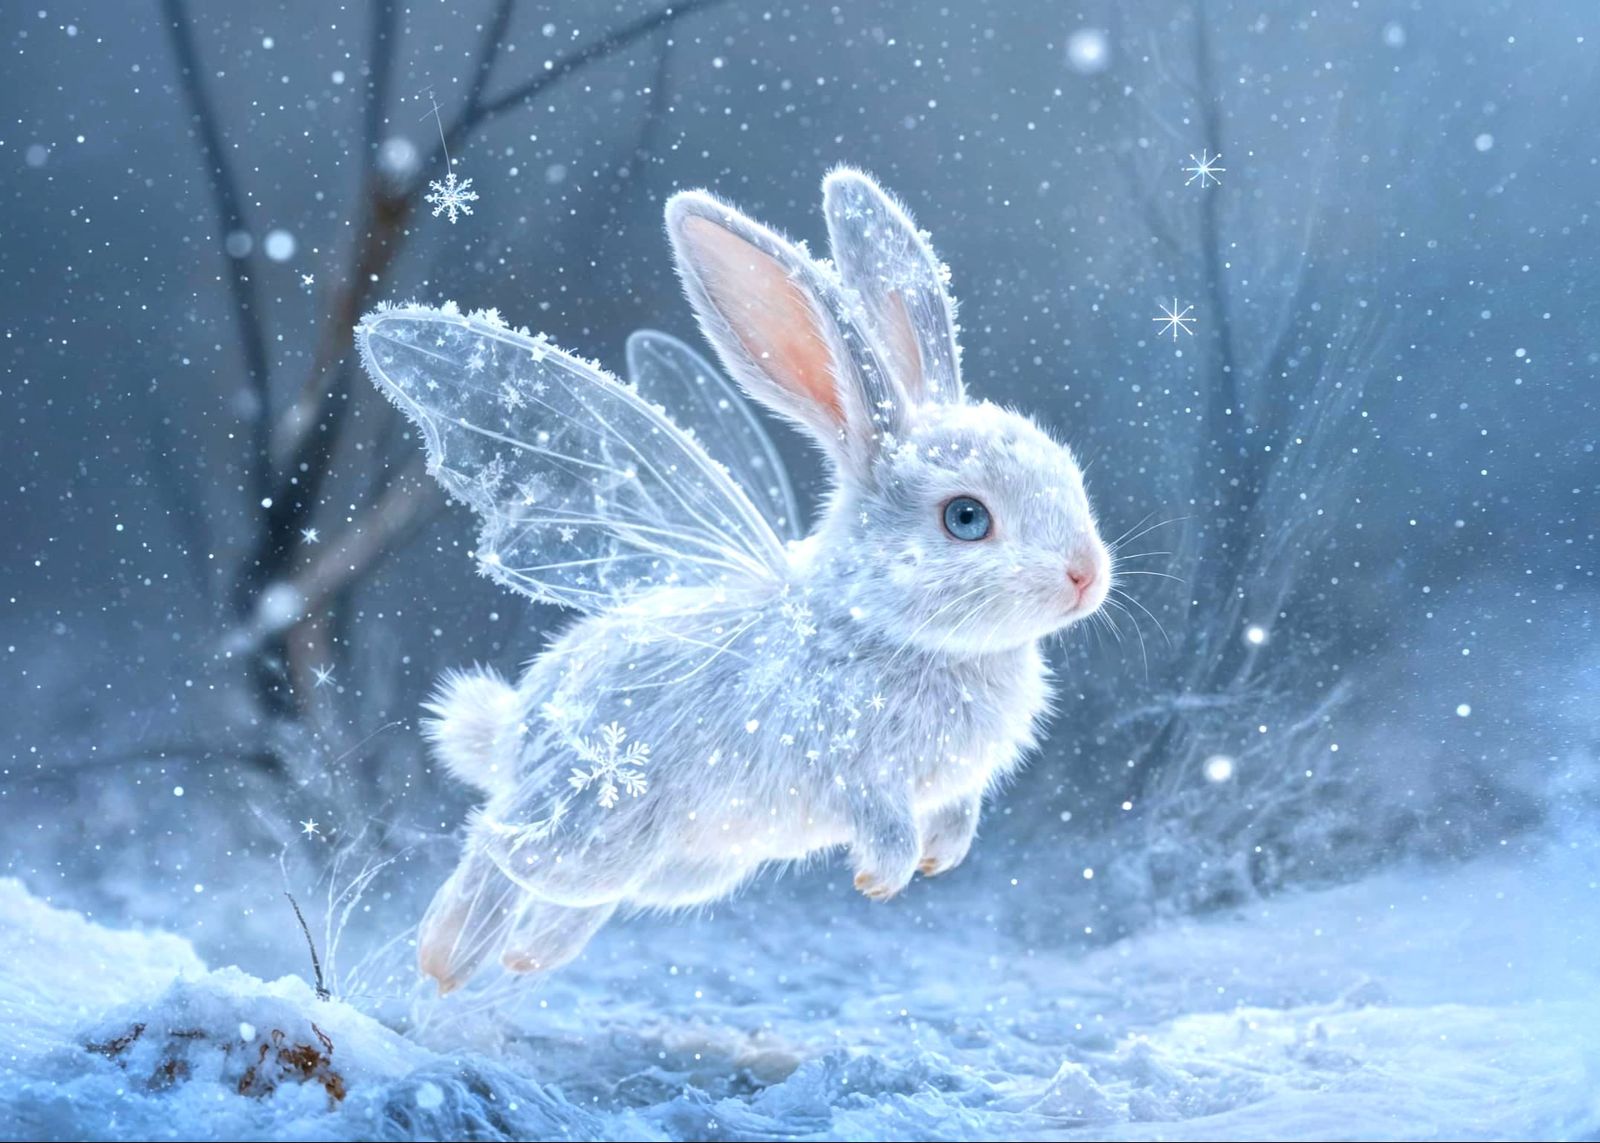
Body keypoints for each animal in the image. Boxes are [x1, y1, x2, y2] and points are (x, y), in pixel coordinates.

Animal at [356, 168, 1113, 994]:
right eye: (967, 517)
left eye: (1068, 470)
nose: (1087, 575)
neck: (883, 628)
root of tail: (512, 737)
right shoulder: (852, 770)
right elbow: (881, 819)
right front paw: (884, 877)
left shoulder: (952, 786)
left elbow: (960, 813)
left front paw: (943, 858)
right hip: (594, 817)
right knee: (496, 850)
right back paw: (444, 958)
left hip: (676, 865)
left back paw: (521, 959)